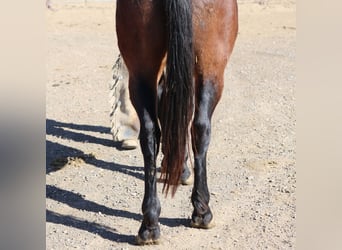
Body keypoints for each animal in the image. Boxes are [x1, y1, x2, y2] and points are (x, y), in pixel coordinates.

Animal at [116, 0, 236, 245]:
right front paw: (181, 170)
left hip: (141, 72)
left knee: (151, 134)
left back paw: (150, 223)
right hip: (213, 69)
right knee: (200, 127)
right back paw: (202, 211)